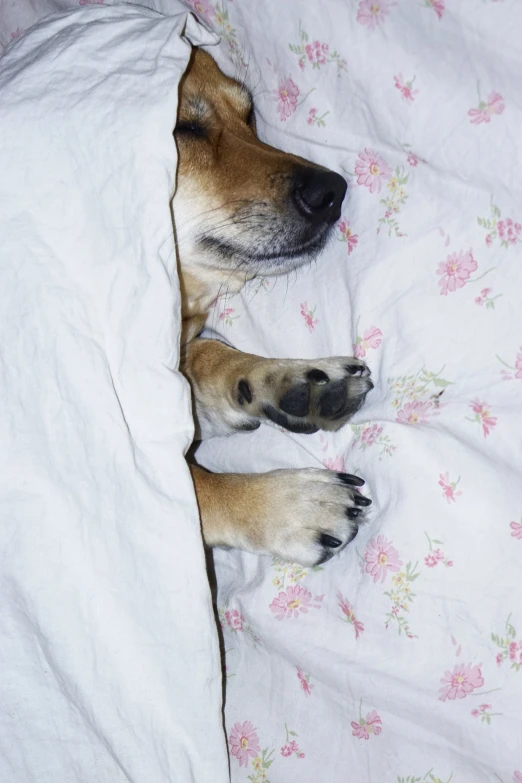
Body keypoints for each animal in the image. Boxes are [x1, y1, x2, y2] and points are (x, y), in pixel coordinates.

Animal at [173, 49, 372, 568]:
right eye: (182, 127)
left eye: (248, 118)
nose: (332, 192)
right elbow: (192, 490)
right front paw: (285, 503)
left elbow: (209, 356)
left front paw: (292, 379)